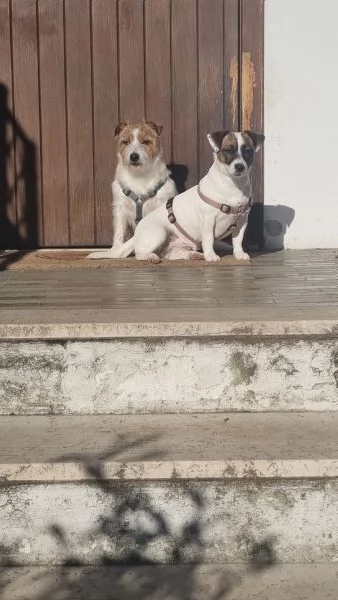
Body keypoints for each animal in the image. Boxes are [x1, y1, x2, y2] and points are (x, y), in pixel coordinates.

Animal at [88, 120, 176, 258]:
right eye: (126, 142)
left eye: (145, 142)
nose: (134, 156)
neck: (139, 175)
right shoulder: (120, 208)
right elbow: (119, 232)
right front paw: (115, 250)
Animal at [105, 130, 264, 262]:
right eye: (227, 150)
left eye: (248, 151)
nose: (239, 167)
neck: (233, 187)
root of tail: (136, 233)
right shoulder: (208, 220)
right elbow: (209, 239)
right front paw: (211, 256)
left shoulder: (242, 221)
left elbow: (238, 240)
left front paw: (239, 254)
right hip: (159, 233)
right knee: (140, 254)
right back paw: (152, 257)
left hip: (175, 245)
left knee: (169, 254)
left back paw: (193, 255)